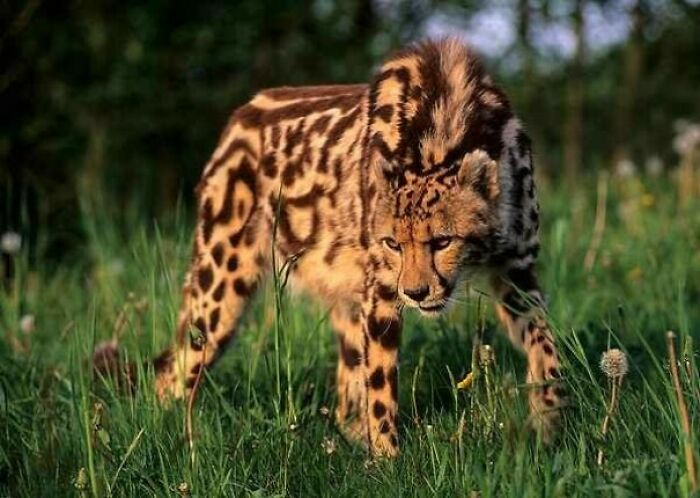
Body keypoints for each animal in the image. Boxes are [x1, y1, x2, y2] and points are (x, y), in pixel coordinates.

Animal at [153, 38, 565, 457]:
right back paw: (177, 444)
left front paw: (550, 421)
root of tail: (243, 111)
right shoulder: (381, 288)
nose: (416, 293)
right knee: (170, 371)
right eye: (392, 243)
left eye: (443, 241)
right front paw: (388, 461)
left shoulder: (516, 271)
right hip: (222, 287)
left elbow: (547, 348)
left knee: (344, 398)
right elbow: (381, 386)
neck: (440, 134)